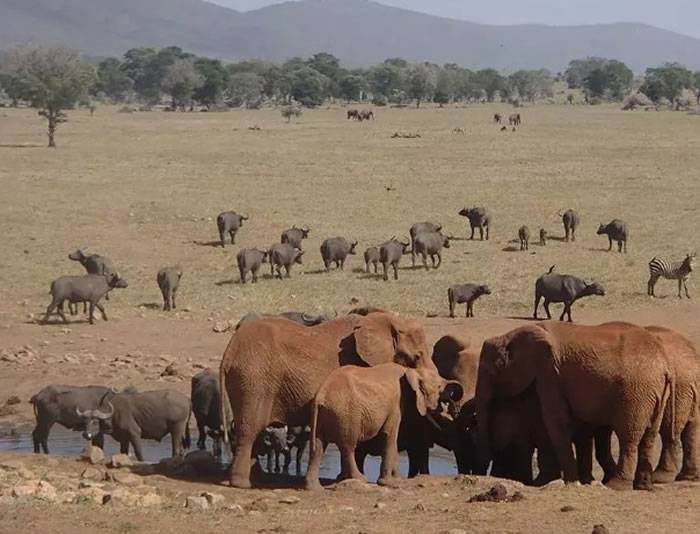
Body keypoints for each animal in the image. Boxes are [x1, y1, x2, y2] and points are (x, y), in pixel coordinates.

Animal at [219, 312, 438, 492]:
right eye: (417, 357)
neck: (389, 320)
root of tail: (228, 352)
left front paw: (342, 479)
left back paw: (257, 477)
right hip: (254, 381)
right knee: (249, 430)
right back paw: (243, 484)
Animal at [304, 362, 460, 492]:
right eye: (439, 387)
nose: (452, 406)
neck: (411, 371)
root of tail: (321, 395)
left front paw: (397, 479)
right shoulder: (396, 404)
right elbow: (390, 435)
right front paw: (389, 483)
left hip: (326, 414)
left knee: (318, 447)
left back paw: (314, 488)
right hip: (346, 413)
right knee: (348, 446)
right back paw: (361, 479)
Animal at [476, 320, 672, 492]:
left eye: (491, 371)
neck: (510, 335)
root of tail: (664, 367)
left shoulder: (549, 372)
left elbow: (554, 419)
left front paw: (567, 482)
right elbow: (579, 429)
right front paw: (582, 481)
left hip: (636, 393)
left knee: (629, 437)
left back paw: (616, 486)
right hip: (654, 393)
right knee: (650, 436)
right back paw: (644, 486)